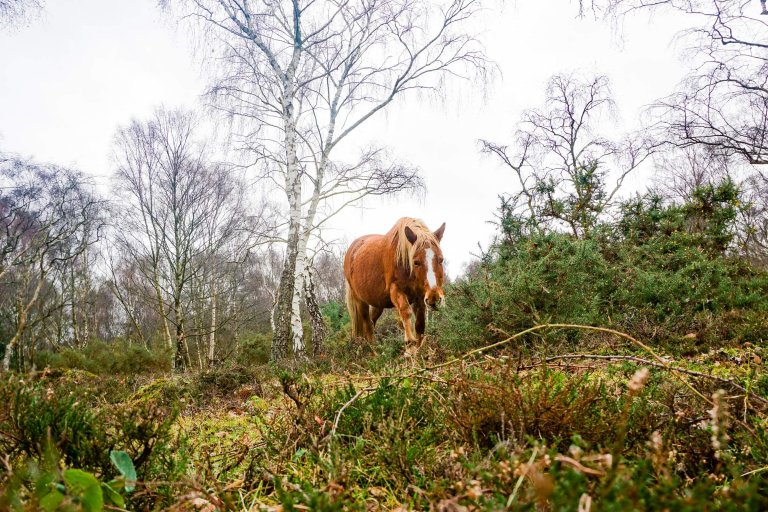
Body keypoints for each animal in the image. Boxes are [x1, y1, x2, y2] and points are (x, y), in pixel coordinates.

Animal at [344, 216, 448, 344]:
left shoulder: (420, 295)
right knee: (368, 326)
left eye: (441, 259)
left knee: (372, 322)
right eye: (416, 262)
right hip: (360, 301)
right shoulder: (396, 290)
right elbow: (405, 312)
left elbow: (420, 324)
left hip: (378, 303)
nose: (434, 297)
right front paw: (410, 343)